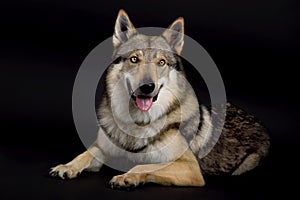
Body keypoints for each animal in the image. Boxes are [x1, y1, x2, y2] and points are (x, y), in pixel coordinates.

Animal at [49, 8, 270, 188]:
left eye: (161, 62)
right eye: (134, 59)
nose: (147, 87)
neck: (138, 124)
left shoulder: (190, 168)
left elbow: (145, 165)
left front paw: (126, 177)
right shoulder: (103, 149)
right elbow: (85, 153)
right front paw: (66, 166)